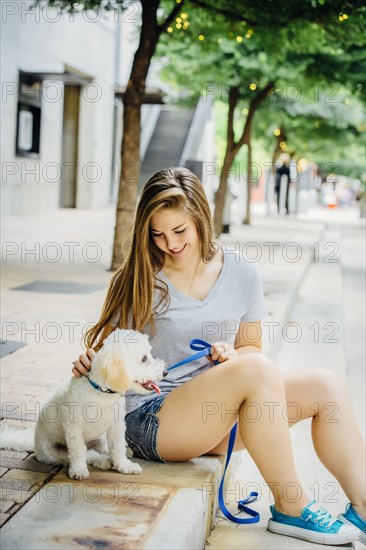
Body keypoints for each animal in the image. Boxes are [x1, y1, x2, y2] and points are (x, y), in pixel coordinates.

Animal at [0, 330, 167, 480]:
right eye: (144, 358)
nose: (165, 372)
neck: (101, 392)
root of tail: (34, 445)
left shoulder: (116, 426)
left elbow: (117, 447)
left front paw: (124, 466)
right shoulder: (74, 428)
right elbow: (79, 451)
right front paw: (79, 470)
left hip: (99, 438)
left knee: (103, 448)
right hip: (54, 453)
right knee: (88, 454)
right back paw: (102, 461)